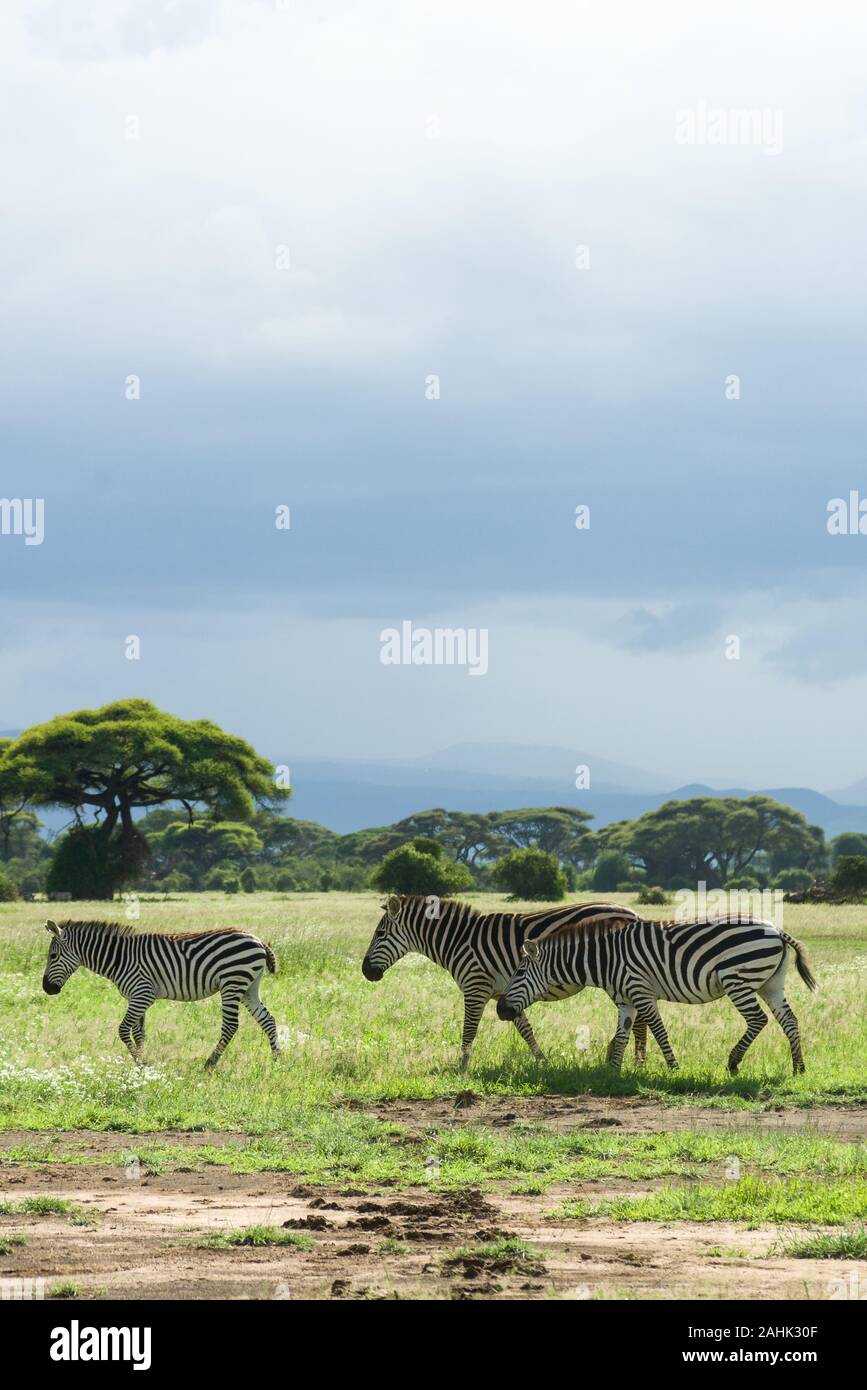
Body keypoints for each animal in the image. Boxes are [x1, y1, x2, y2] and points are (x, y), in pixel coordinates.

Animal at [41, 919, 280, 1068]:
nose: (46, 989)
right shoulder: (137, 997)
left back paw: (209, 1063)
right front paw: (142, 1064)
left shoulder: (142, 994)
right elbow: (139, 1032)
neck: (119, 958)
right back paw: (277, 1060)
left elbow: (123, 1030)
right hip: (249, 987)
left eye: (53, 956)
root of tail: (258, 940)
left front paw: (140, 1062)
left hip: (232, 982)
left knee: (231, 1025)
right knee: (267, 1020)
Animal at [361, 894, 651, 1068]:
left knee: (638, 1020)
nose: (365, 972)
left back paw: (637, 1062)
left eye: (380, 934)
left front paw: (461, 1067)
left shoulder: (475, 987)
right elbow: (525, 1029)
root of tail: (633, 913)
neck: (457, 940)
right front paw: (542, 1061)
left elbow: (469, 1030)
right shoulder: (506, 994)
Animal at [497, 913, 817, 1075]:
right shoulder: (625, 1000)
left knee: (758, 1020)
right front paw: (613, 1073)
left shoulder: (641, 992)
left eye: (518, 973)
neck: (604, 959)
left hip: (737, 980)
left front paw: (674, 1068)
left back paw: (733, 1062)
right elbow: (622, 1035)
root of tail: (775, 930)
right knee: (789, 1020)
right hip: (770, 984)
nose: (501, 1010)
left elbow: (658, 1030)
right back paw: (798, 1068)